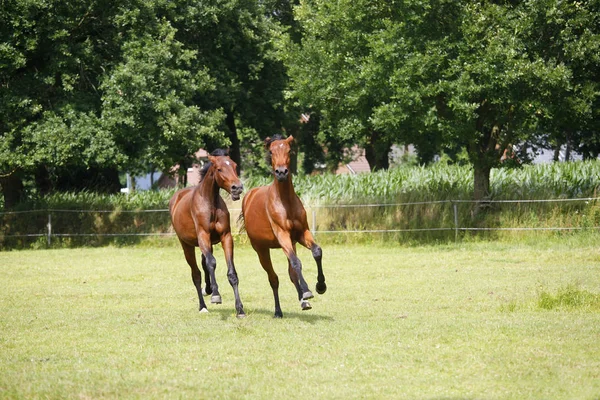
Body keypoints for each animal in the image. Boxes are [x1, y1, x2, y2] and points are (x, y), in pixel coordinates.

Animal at [168, 148, 245, 318]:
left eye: (235, 166)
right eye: (219, 169)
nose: (237, 188)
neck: (210, 204)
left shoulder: (225, 237)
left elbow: (231, 273)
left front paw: (240, 309)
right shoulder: (203, 236)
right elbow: (212, 263)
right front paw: (216, 295)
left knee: (203, 265)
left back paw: (208, 289)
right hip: (187, 245)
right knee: (196, 274)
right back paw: (203, 305)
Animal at [240, 136, 328, 318]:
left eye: (289, 150)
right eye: (271, 151)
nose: (281, 172)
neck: (285, 202)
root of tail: (248, 197)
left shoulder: (301, 234)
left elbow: (316, 252)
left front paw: (320, 286)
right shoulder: (283, 236)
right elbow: (296, 263)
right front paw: (308, 291)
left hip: (290, 244)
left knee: (291, 274)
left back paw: (304, 302)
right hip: (261, 250)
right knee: (273, 278)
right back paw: (278, 311)